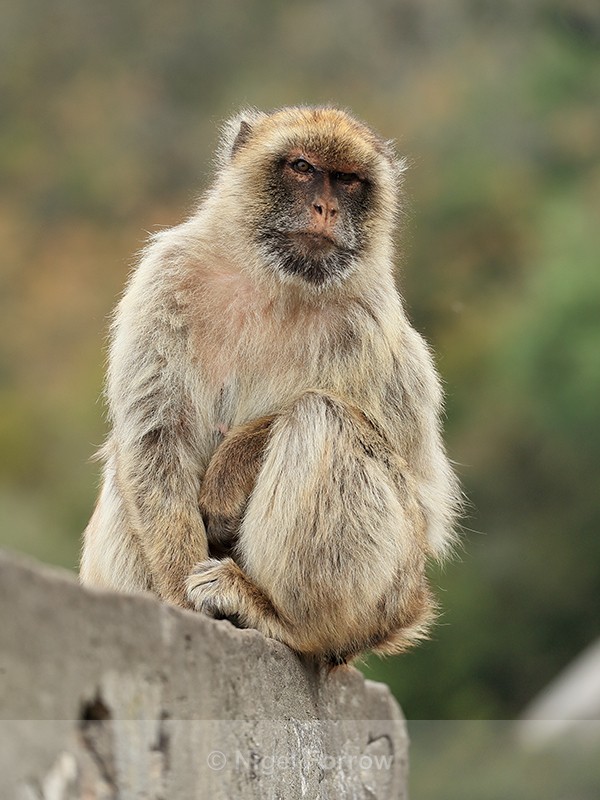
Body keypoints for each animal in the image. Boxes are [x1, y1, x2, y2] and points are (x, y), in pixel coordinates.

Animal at [80, 106, 461, 664]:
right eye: (302, 167)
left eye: (348, 180)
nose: (325, 206)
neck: (275, 282)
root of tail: (405, 609)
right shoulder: (166, 277)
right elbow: (155, 438)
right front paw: (177, 600)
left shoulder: (368, 321)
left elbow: (415, 482)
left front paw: (226, 477)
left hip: (387, 587)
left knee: (323, 417)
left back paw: (285, 620)